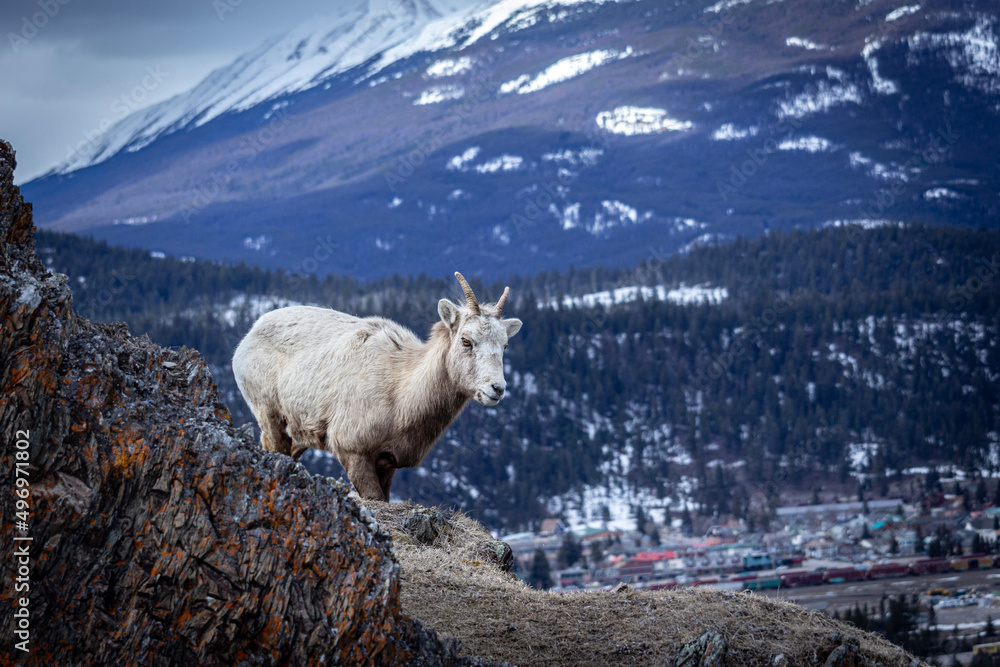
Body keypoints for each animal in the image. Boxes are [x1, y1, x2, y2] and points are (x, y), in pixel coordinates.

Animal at [232, 272, 522, 501]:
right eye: (466, 340)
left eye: (505, 345)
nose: (497, 389)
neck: (401, 394)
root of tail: (249, 336)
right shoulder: (354, 453)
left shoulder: (388, 463)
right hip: (269, 414)